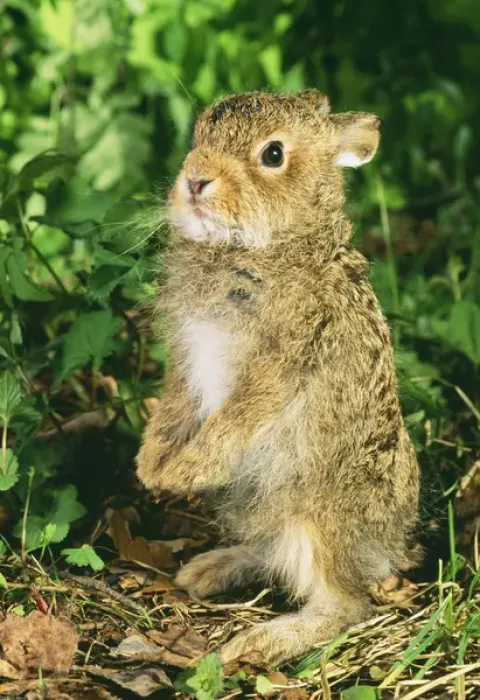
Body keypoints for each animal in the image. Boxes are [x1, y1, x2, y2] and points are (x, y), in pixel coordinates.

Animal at [136, 90, 421, 666]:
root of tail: (390, 543)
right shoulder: (187, 358)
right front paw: (151, 467)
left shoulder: (278, 369)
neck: (264, 246)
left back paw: (260, 641)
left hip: (320, 515)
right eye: (199, 135)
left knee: (344, 606)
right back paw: (207, 571)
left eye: (272, 155)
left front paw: (182, 474)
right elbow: (175, 405)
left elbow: (234, 421)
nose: (195, 180)